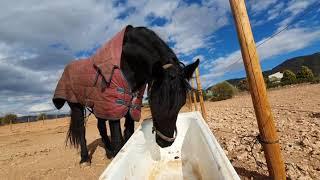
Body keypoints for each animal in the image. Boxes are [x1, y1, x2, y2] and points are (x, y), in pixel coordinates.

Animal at [53, 25, 199, 165]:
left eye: (182, 103)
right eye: (153, 101)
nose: (165, 143)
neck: (127, 62)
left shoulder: (130, 105)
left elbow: (128, 134)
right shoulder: (114, 107)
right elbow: (118, 140)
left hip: (99, 105)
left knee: (101, 127)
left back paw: (109, 152)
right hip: (77, 105)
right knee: (81, 130)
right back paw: (85, 158)